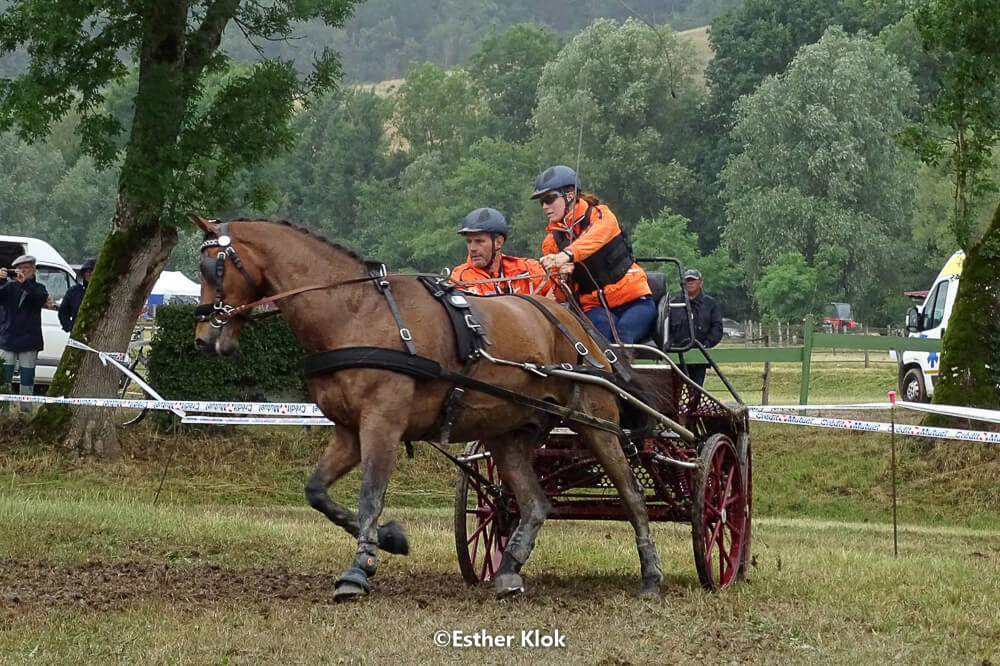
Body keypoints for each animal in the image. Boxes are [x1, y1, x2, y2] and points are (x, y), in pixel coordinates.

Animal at [189, 215, 663, 601]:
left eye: (212, 266)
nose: (203, 339)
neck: (355, 313)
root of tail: (573, 323)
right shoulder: (348, 430)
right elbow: (317, 492)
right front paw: (390, 539)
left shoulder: (382, 424)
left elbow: (370, 496)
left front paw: (359, 569)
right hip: (509, 434)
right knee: (534, 504)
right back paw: (509, 571)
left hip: (597, 424)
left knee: (632, 495)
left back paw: (651, 574)